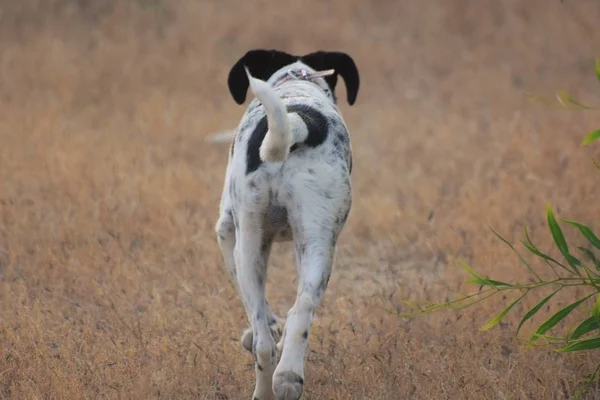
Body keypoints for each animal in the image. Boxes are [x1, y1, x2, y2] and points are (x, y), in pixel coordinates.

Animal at [214, 50, 356, 400]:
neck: (296, 82)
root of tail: (299, 121)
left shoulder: (226, 231)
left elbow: (253, 301)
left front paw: (262, 327)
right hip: (318, 242)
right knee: (302, 307)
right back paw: (289, 376)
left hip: (249, 241)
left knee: (263, 341)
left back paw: (266, 384)